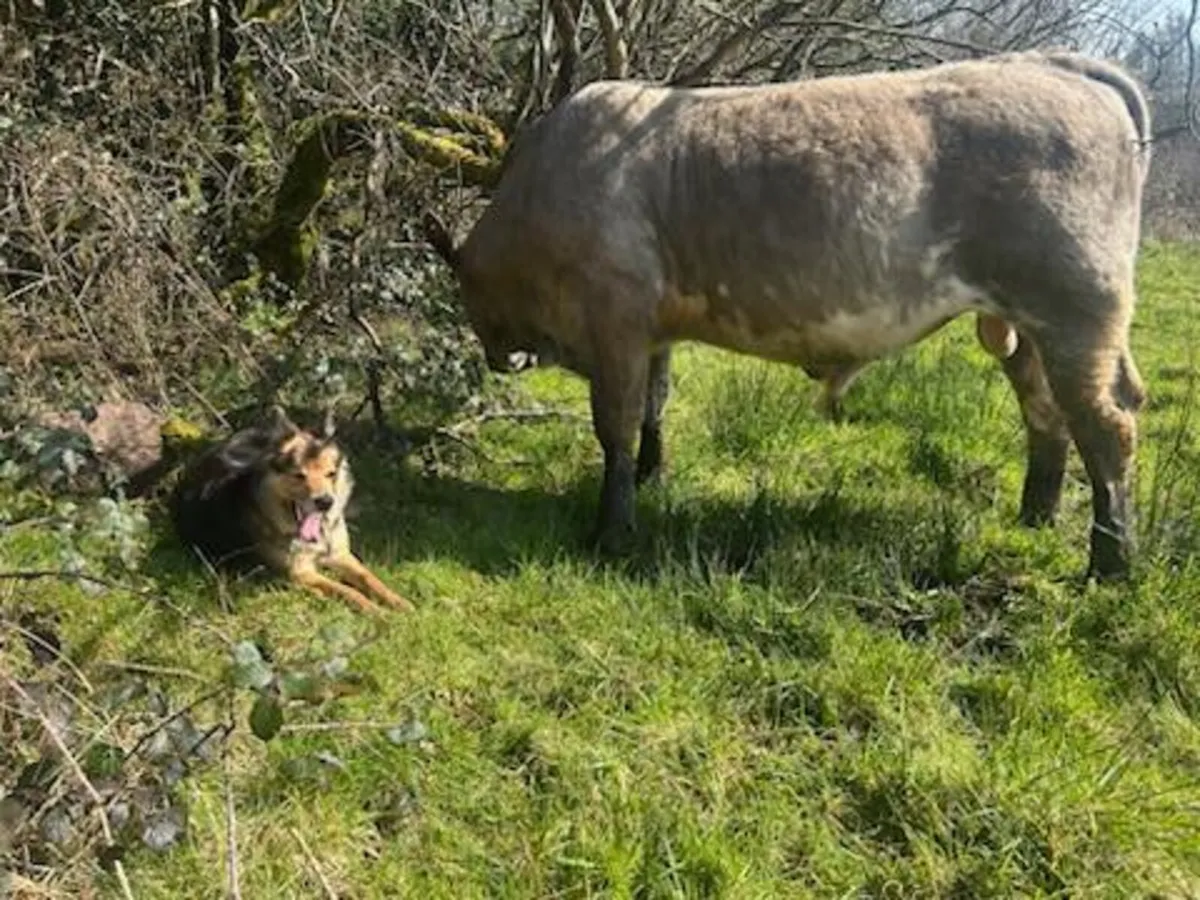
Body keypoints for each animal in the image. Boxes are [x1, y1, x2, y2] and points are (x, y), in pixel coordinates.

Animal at [425, 50, 1152, 579]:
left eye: (466, 292)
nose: (502, 358)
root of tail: (1055, 66)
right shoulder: (654, 328)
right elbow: (656, 405)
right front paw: (654, 476)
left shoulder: (616, 320)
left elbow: (617, 425)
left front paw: (612, 528)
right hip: (1027, 328)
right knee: (1046, 415)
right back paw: (1037, 517)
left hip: (1074, 312)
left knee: (1106, 426)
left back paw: (1110, 564)